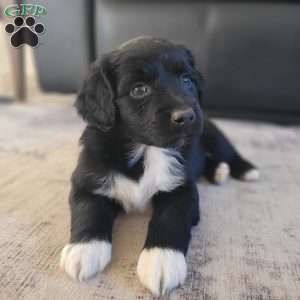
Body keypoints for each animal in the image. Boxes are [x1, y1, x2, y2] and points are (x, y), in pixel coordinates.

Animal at [59, 37, 258, 296]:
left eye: (187, 80)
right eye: (139, 89)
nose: (187, 116)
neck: (145, 150)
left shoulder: (183, 189)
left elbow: (170, 217)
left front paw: (162, 260)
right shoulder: (87, 180)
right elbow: (88, 209)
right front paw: (84, 249)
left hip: (212, 133)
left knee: (229, 152)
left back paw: (244, 169)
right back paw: (218, 171)